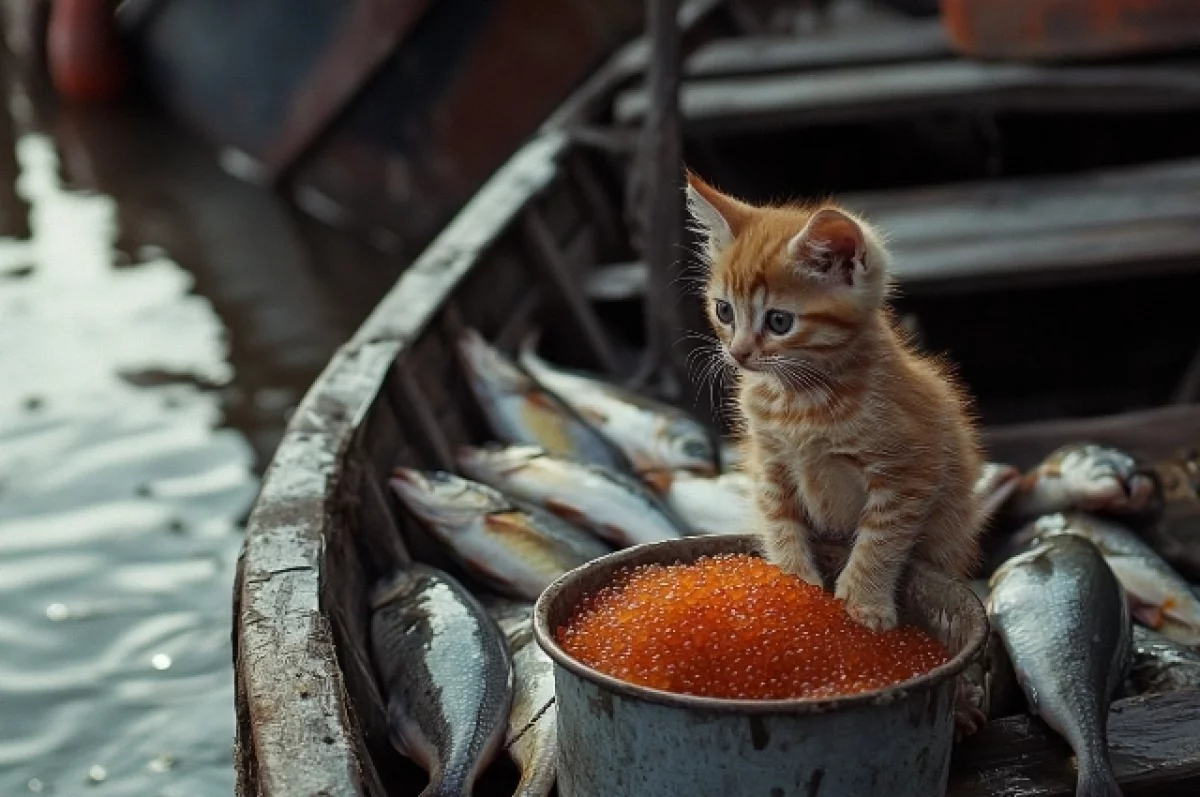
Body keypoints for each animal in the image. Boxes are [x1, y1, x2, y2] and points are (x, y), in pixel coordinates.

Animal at [691, 171, 979, 633]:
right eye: (724, 311)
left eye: (779, 321)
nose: (738, 353)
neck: (799, 400)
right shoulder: (770, 461)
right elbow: (779, 521)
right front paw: (792, 587)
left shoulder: (912, 470)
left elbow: (881, 539)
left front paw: (864, 602)